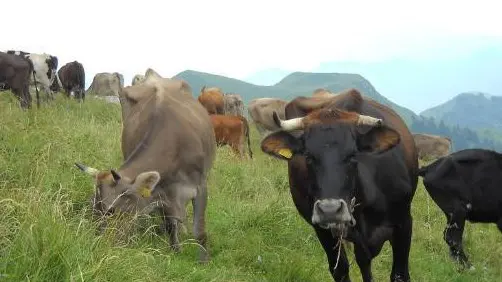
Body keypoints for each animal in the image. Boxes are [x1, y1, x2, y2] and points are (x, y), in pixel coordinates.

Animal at [260, 88, 418, 282]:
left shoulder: (404, 223)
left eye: (352, 155)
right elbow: (340, 269)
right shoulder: (323, 230)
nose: (330, 210)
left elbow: (399, 274)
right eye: (308, 156)